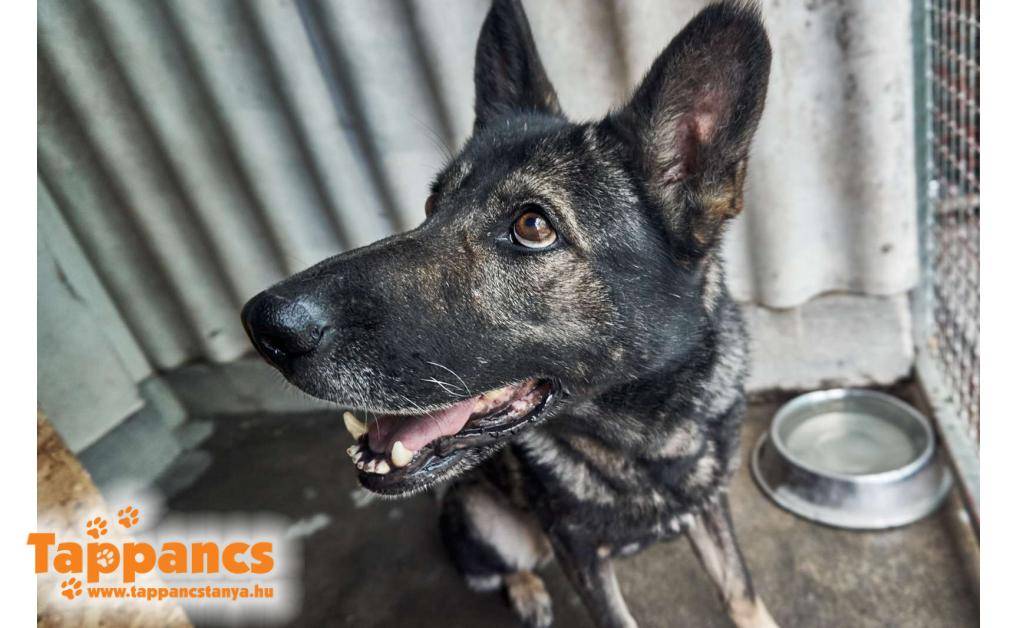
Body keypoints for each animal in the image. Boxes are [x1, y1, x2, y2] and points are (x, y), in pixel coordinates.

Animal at [242, 1, 774, 626]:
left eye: (533, 226)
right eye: (431, 205)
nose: (265, 328)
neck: (642, 438)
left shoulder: (710, 510)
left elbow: (742, 591)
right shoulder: (578, 551)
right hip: (491, 523)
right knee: (497, 566)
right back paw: (526, 591)